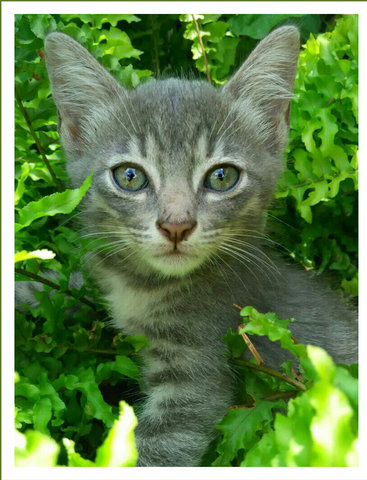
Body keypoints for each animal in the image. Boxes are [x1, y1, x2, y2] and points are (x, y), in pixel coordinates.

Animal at [42, 28, 356, 466]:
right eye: (130, 176)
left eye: (222, 177)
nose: (176, 225)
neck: (143, 287)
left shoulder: (197, 372)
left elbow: (160, 447)